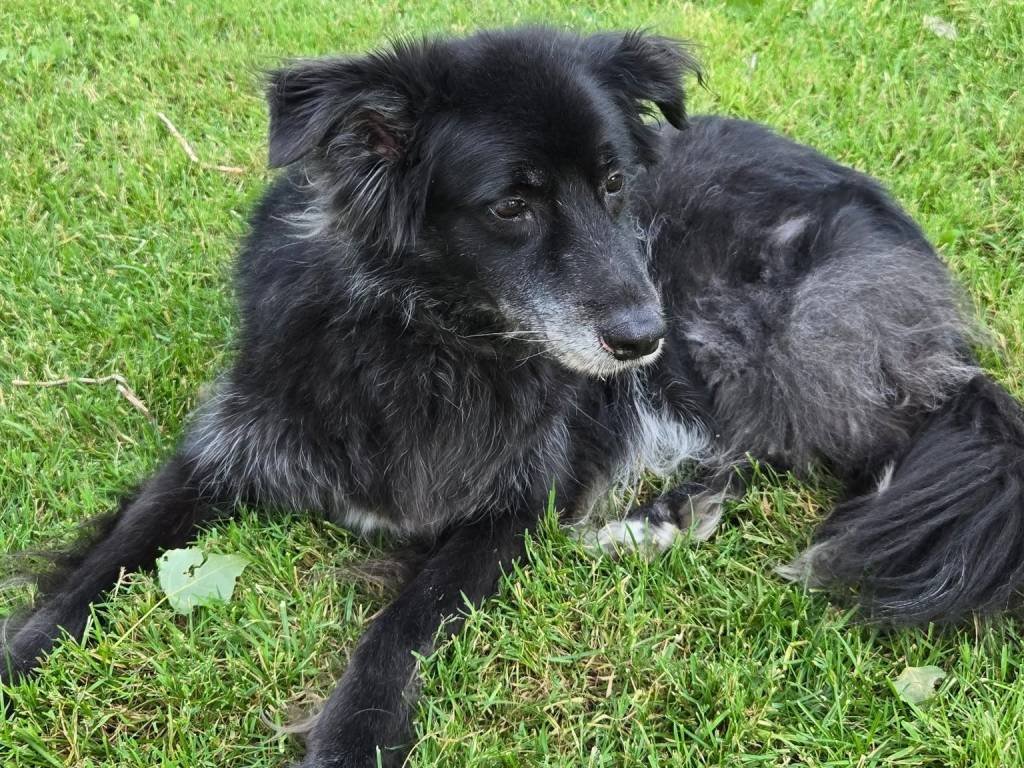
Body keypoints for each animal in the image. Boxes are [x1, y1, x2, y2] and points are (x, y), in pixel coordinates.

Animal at [3, 27, 1023, 767]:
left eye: (614, 185)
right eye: (511, 205)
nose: (640, 335)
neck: (430, 339)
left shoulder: (509, 508)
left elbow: (402, 625)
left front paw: (353, 736)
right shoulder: (219, 449)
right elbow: (107, 562)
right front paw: (22, 652)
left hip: (748, 336)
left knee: (875, 432)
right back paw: (671, 515)